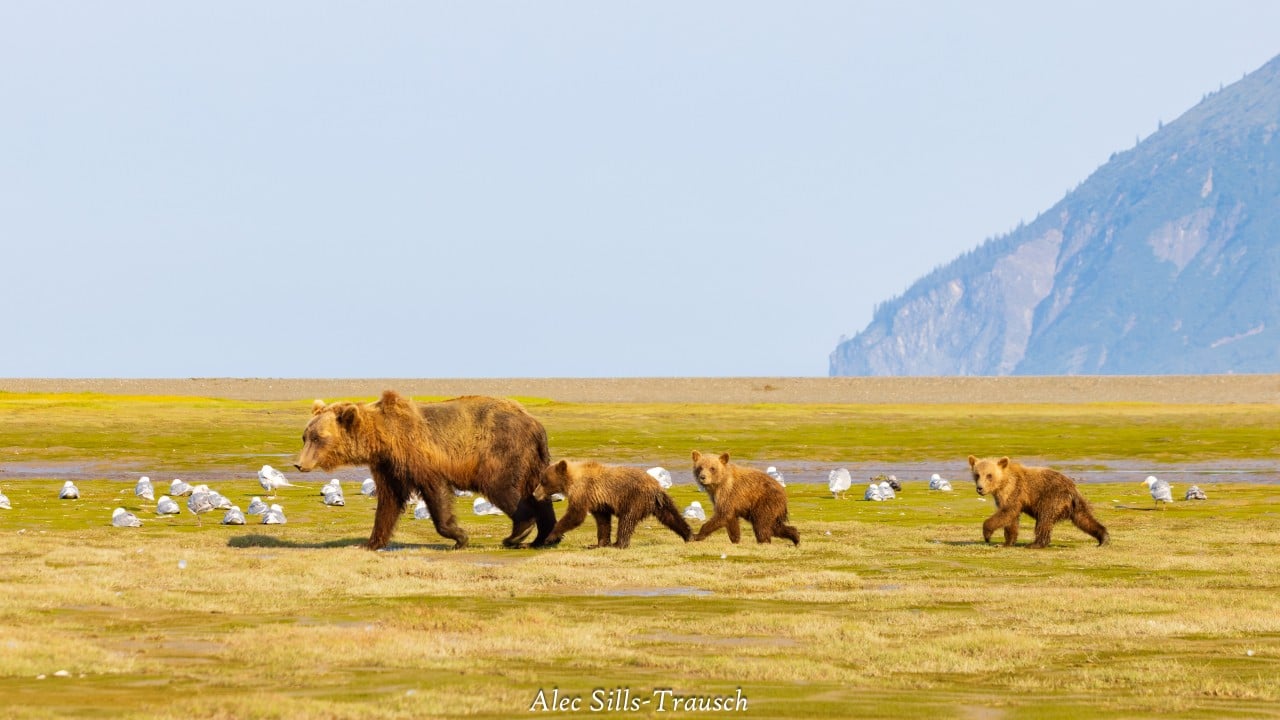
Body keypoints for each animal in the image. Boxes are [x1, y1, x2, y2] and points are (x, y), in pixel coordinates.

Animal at [295, 390, 555, 550]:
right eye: (305, 437)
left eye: (318, 438)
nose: (299, 464)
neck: (383, 439)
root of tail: (536, 424)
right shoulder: (388, 467)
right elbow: (388, 503)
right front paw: (369, 543)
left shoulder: (418, 456)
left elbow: (436, 494)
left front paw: (459, 537)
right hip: (533, 460)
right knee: (539, 494)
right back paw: (545, 537)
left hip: (501, 450)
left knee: (500, 486)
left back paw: (517, 533)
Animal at [533, 460, 691, 549]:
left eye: (543, 481)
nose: (534, 493)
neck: (572, 481)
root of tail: (655, 487)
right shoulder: (597, 502)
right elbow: (603, 522)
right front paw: (598, 543)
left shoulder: (583, 492)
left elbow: (575, 515)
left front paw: (550, 536)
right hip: (661, 502)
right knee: (672, 516)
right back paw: (689, 535)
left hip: (634, 498)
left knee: (626, 520)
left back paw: (619, 544)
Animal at [968, 455, 1109, 548]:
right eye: (977, 475)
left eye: (989, 475)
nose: (980, 488)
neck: (1002, 483)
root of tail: (1072, 489)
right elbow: (1011, 519)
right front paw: (1006, 542)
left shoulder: (1014, 490)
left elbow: (1008, 512)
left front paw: (987, 535)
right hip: (1076, 506)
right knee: (1085, 519)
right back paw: (1103, 539)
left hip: (1051, 498)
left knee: (1044, 520)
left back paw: (1035, 544)